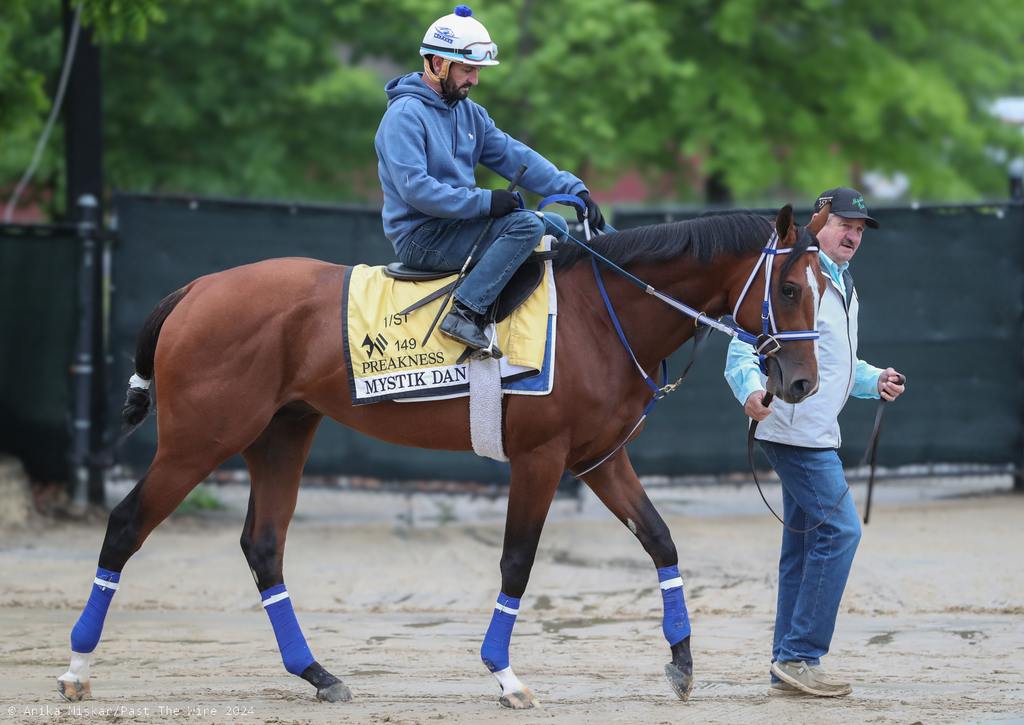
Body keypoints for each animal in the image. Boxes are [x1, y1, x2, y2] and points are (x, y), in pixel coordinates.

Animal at [56, 202, 827, 708]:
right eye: (789, 287)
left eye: (822, 289)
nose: (801, 383)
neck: (599, 314)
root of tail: (198, 288)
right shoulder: (541, 459)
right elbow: (517, 560)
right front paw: (503, 672)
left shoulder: (600, 460)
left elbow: (661, 541)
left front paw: (682, 660)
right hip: (199, 441)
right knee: (126, 526)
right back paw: (76, 667)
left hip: (281, 435)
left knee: (264, 546)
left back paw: (316, 672)